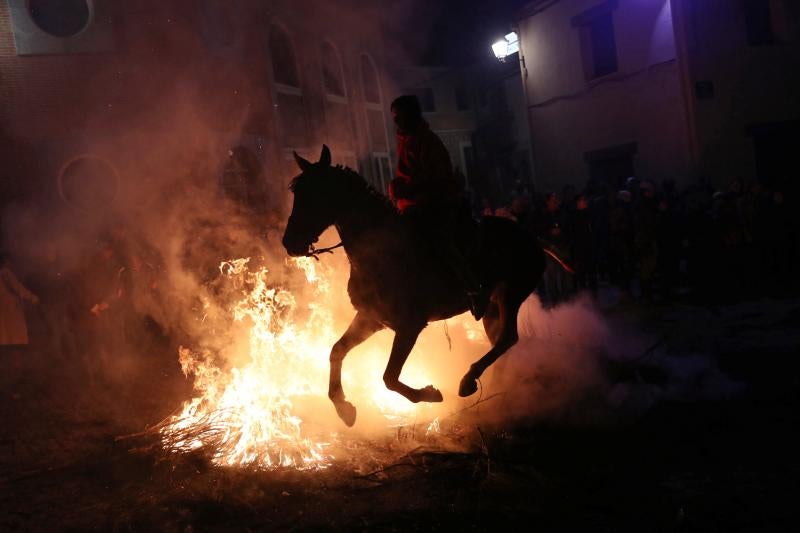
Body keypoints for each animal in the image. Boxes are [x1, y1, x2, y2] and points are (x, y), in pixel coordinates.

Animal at [282, 144, 544, 424]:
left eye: (316, 192)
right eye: (296, 192)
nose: (289, 242)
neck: (381, 253)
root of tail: (532, 237)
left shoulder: (410, 326)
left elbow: (389, 377)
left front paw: (429, 394)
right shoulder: (370, 319)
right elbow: (337, 351)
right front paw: (344, 407)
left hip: (510, 295)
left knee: (507, 338)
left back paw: (468, 381)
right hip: (492, 308)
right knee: (499, 342)